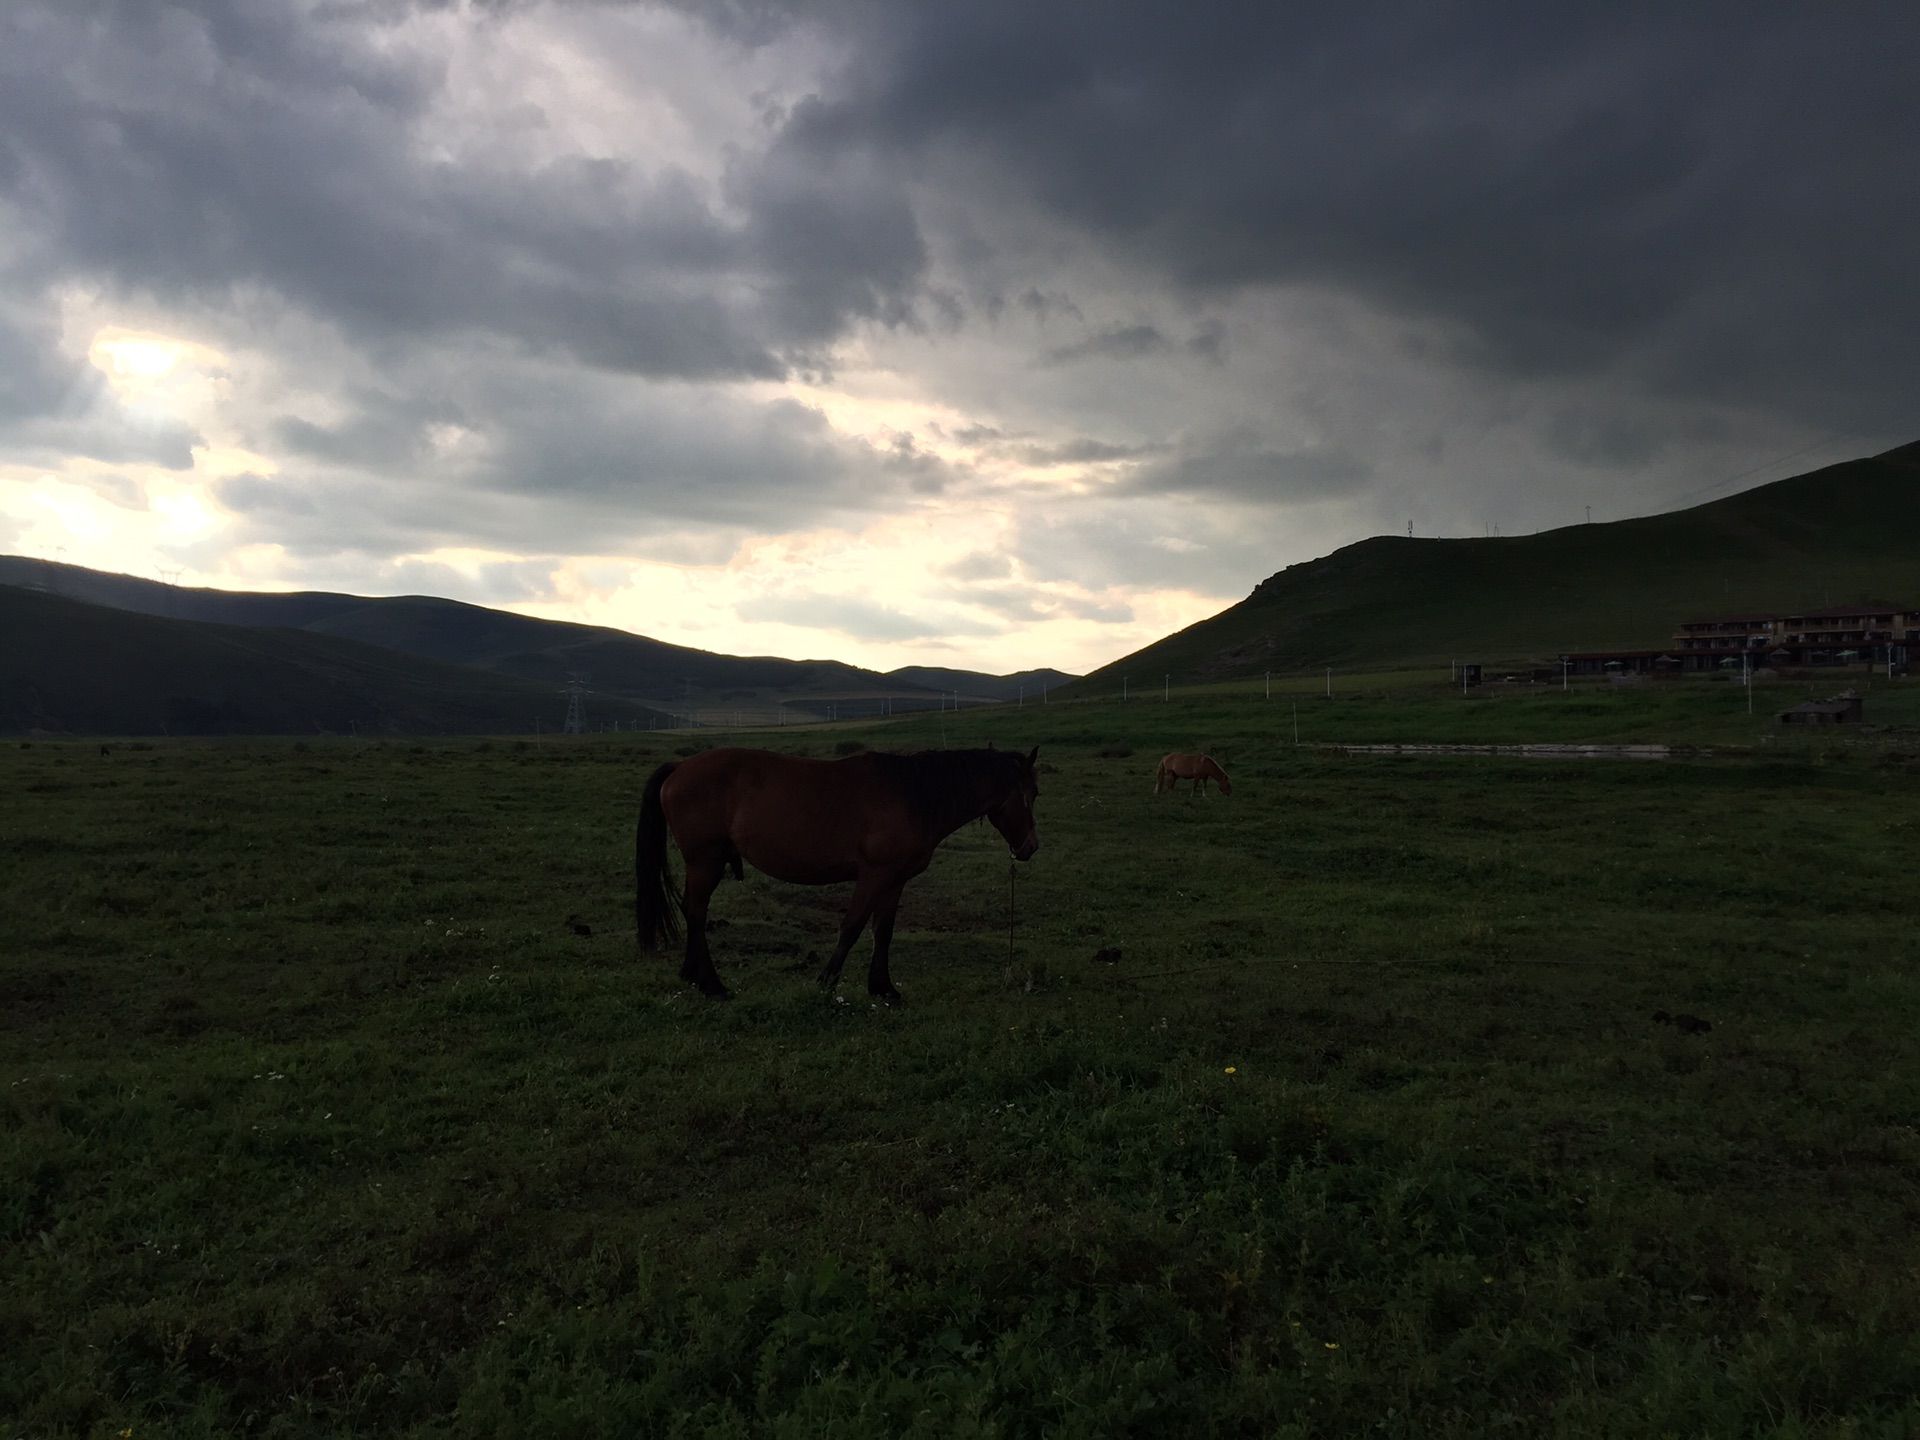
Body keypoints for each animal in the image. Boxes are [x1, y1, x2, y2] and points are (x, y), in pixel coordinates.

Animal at [641, 744, 1036, 1006]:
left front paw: (884, 988)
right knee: (695, 911)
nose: (1031, 847)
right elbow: (852, 927)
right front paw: (827, 981)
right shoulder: (874, 875)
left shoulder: (894, 881)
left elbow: (883, 932)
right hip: (705, 862)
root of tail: (680, 767)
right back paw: (711, 983)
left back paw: (693, 975)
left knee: (692, 910)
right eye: (1029, 795)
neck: (912, 795)